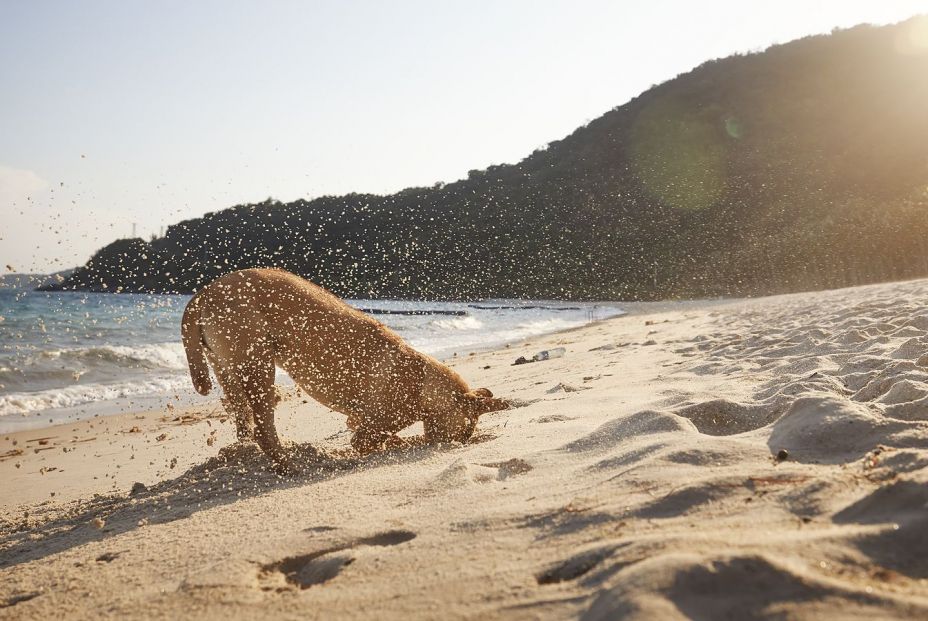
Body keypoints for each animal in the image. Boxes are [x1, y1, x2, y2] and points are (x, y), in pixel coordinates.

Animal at [180, 268, 508, 468]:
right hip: (257, 365)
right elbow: (391, 441)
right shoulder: (370, 431)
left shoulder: (358, 422)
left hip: (228, 370)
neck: (424, 380)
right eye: (466, 429)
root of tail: (205, 291)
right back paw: (288, 464)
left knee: (243, 420)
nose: (461, 443)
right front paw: (408, 442)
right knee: (264, 428)